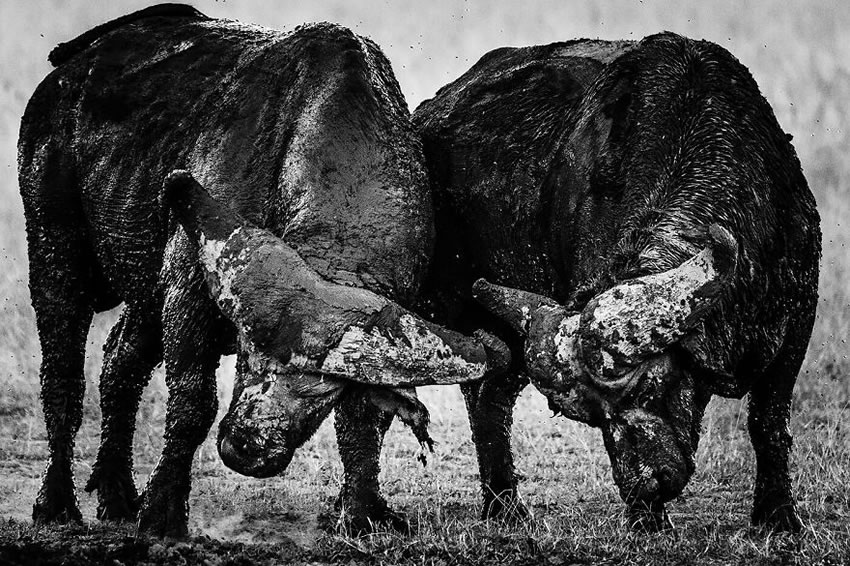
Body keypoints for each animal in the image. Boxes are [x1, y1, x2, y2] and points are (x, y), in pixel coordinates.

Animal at [18, 3, 504, 536]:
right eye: (249, 355)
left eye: (323, 389)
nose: (250, 450)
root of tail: (69, 69)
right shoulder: (189, 294)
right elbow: (192, 405)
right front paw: (163, 510)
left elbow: (364, 421)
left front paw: (360, 513)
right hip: (54, 249)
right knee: (63, 376)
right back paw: (57, 502)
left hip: (144, 290)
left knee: (118, 364)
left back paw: (117, 494)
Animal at [414, 34, 820, 532]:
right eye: (595, 418)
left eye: (650, 387)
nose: (645, 485)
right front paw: (647, 519)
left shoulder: (798, 314)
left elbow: (768, 422)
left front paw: (778, 515)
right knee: (485, 396)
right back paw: (504, 505)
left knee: (491, 393)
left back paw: (505, 507)